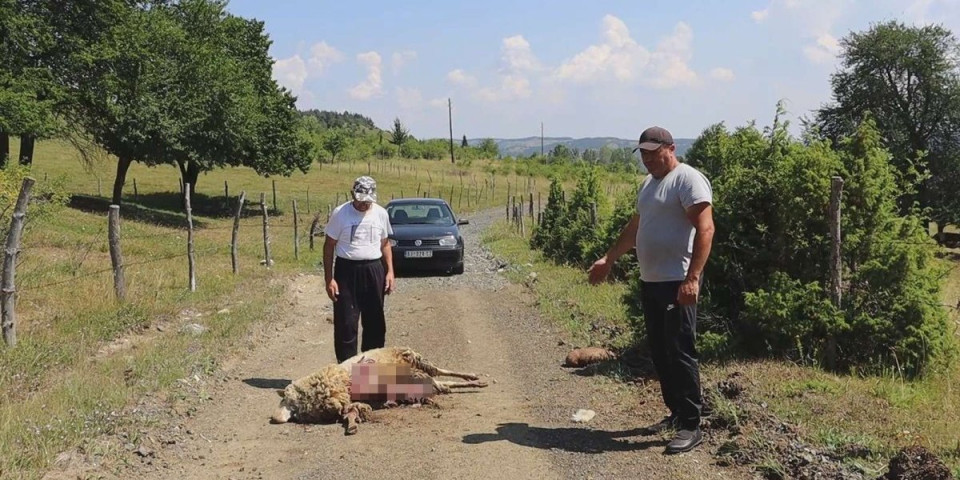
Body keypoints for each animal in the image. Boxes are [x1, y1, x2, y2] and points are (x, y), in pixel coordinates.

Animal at [270, 346, 488, 434]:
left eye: (286, 400)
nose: (274, 418)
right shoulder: (346, 402)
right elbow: (352, 412)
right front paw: (352, 426)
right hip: (420, 376)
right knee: (443, 384)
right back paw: (474, 383)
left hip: (416, 359)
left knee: (440, 371)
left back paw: (473, 377)